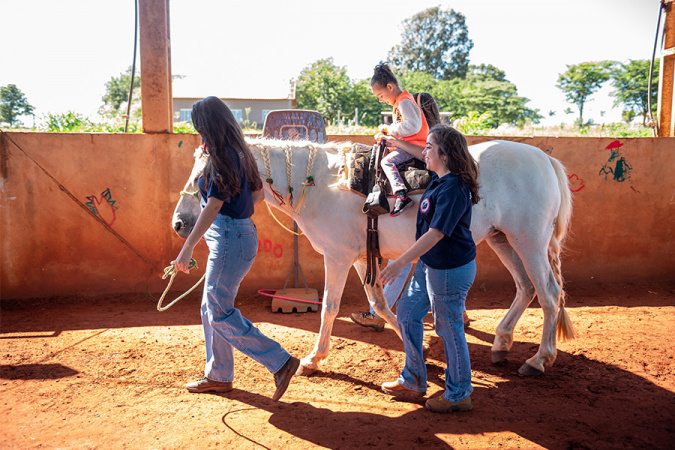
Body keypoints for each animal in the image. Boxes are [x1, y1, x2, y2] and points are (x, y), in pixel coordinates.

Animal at [174, 139, 576, 378]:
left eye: (206, 176)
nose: (179, 223)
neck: (319, 183)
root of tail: (545, 158)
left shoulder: (337, 257)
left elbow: (330, 307)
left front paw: (313, 359)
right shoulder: (358, 258)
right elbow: (379, 304)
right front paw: (415, 347)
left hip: (529, 241)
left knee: (549, 293)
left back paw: (539, 359)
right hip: (502, 239)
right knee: (525, 288)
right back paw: (502, 342)